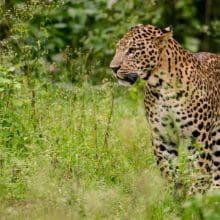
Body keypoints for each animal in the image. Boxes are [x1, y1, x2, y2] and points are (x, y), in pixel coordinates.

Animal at [110, 24, 220, 194]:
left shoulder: (198, 137)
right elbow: (168, 169)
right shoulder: (163, 136)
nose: (113, 68)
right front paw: (174, 195)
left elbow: (198, 171)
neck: (162, 87)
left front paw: (194, 197)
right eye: (117, 49)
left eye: (132, 50)